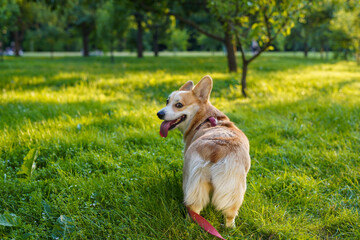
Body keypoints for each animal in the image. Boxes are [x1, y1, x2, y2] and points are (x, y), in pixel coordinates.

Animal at [158, 76, 250, 228]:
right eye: (167, 101)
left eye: (179, 105)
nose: (159, 114)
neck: (204, 117)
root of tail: (216, 149)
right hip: (233, 188)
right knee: (230, 213)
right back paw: (229, 228)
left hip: (192, 178)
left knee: (193, 209)